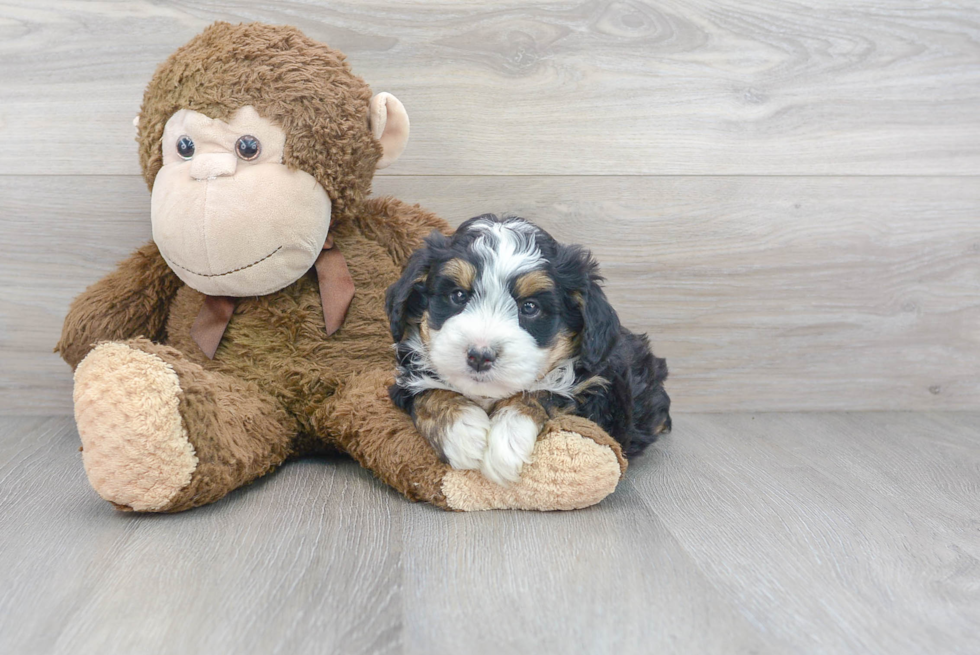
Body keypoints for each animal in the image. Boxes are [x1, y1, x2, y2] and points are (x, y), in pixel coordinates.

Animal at [386, 217, 668, 486]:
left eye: (530, 307)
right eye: (457, 296)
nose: (480, 356)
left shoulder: (601, 395)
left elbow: (543, 392)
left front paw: (506, 439)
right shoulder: (404, 377)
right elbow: (429, 391)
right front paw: (462, 429)